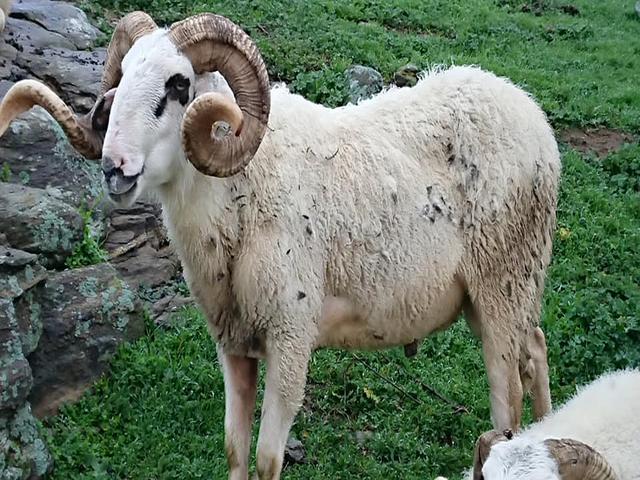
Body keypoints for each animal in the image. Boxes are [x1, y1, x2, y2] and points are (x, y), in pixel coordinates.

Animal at [0, 11, 561, 480]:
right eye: (122, 76)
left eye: (179, 84)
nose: (114, 168)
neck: (242, 188)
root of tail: (528, 109)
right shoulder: (232, 343)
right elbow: (234, 453)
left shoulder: (291, 337)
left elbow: (268, 461)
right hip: (499, 291)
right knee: (536, 347)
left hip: (503, 280)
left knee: (507, 396)